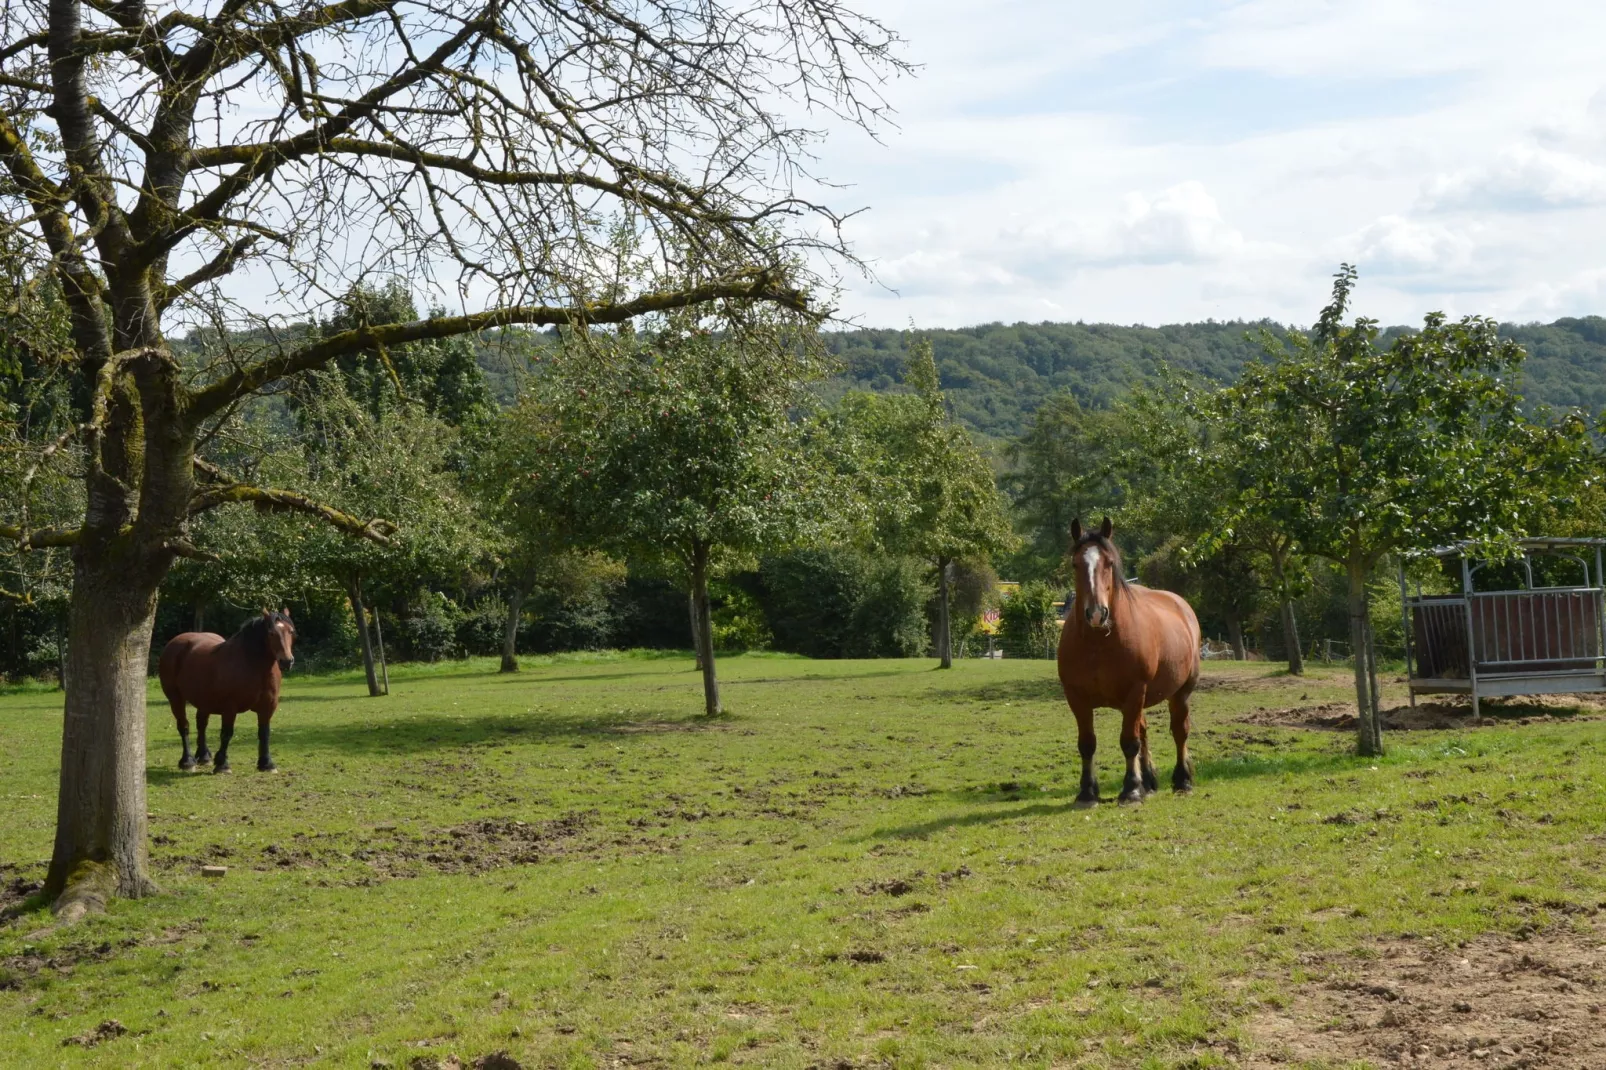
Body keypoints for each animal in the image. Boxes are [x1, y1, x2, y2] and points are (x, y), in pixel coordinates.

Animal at [159, 604, 295, 771]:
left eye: (290, 631)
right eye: (271, 633)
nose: (287, 661)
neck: (252, 664)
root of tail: (174, 644)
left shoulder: (268, 706)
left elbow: (264, 733)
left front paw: (267, 763)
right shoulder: (230, 707)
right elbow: (227, 733)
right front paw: (222, 764)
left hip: (203, 701)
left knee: (201, 724)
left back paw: (204, 756)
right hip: (175, 698)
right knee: (184, 726)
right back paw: (187, 761)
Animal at [1059, 514, 1201, 800]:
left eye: (1109, 563)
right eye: (1075, 564)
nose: (1096, 613)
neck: (1098, 643)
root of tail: (1181, 605)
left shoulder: (1135, 691)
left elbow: (1129, 742)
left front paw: (1131, 789)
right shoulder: (1076, 697)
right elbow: (1087, 744)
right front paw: (1087, 792)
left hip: (1180, 693)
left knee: (1179, 731)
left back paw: (1182, 780)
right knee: (1144, 730)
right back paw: (1149, 780)